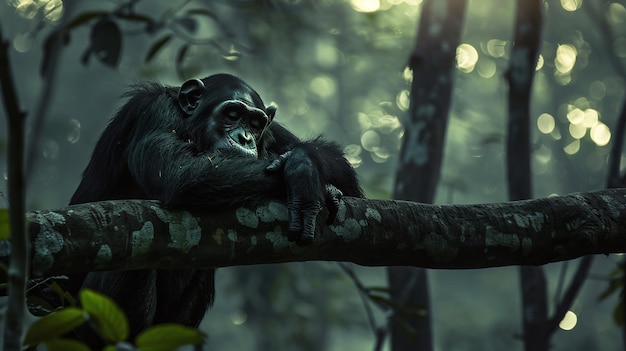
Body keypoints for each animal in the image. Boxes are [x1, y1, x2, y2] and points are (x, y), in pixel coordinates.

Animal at [67, 73, 360, 346]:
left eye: (255, 124)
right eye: (232, 114)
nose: (245, 138)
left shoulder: (273, 131)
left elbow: (343, 170)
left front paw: (306, 165)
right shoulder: (152, 111)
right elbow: (179, 173)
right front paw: (304, 174)